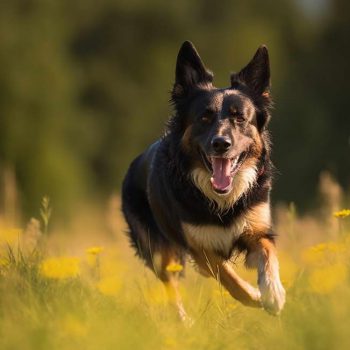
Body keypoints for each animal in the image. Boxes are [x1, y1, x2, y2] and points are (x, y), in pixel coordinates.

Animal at [121, 41, 286, 318]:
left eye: (240, 118)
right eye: (204, 118)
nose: (221, 144)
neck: (222, 199)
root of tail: (134, 165)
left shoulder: (256, 230)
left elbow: (268, 253)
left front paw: (273, 292)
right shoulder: (201, 250)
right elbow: (228, 276)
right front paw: (254, 295)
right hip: (160, 253)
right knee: (170, 285)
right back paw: (182, 321)